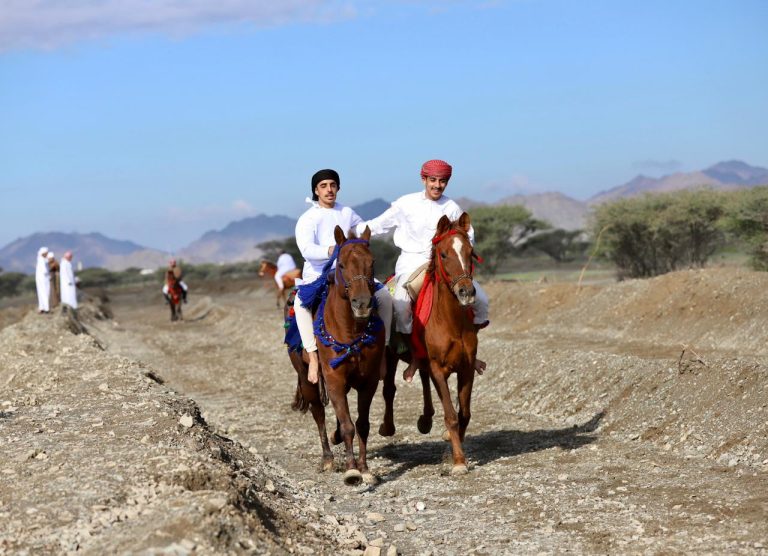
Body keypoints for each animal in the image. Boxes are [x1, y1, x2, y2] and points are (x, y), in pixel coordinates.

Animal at [287, 226, 385, 485]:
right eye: (340, 264)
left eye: (372, 262)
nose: (362, 304)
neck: (351, 331)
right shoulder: (334, 379)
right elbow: (348, 424)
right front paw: (352, 470)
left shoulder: (368, 381)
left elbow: (362, 424)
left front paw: (365, 469)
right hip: (306, 377)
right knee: (318, 413)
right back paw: (328, 459)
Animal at [379, 212, 480, 475]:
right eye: (443, 254)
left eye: (470, 252)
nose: (466, 291)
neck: (452, 322)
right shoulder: (439, 368)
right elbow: (451, 415)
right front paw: (458, 461)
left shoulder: (466, 368)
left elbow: (464, 414)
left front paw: (453, 450)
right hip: (391, 355)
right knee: (389, 389)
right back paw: (387, 427)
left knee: (422, 376)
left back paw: (425, 419)